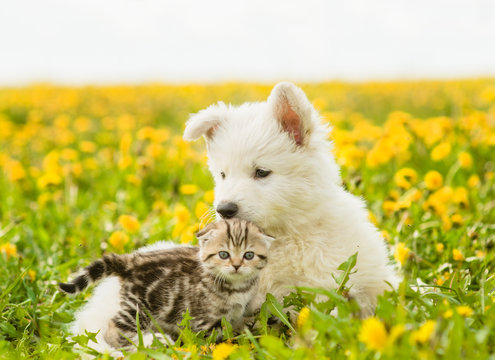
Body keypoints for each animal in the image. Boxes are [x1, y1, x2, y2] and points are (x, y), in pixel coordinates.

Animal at [60, 218, 276, 348]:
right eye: (224, 254)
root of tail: (131, 260)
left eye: (249, 255)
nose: (237, 265)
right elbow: (223, 333)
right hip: (138, 307)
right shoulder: (202, 321)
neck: (236, 286)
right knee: (115, 329)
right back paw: (148, 342)